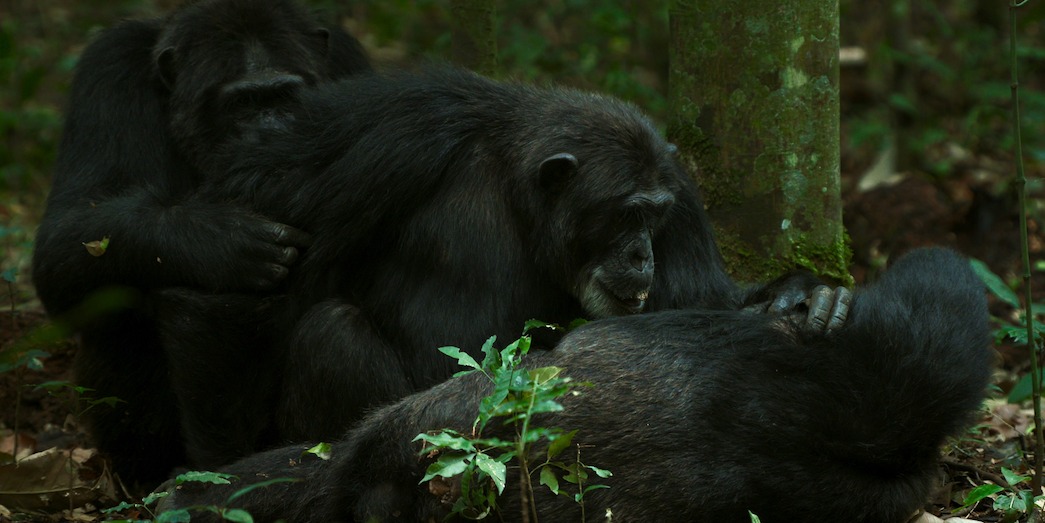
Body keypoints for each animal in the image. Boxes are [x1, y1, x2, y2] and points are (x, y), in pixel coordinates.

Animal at [30, 0, 372, 483]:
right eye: (242, 102)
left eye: (286, 96)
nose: (274, 131)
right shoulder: (108, 73)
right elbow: (67, 236)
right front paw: (217, 239)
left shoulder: (347, 65)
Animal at [152, 63, 848, 468]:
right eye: (625, 215)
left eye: (653, 218)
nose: (641, 252)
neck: (519, 189)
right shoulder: (392, 133)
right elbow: (244, 260)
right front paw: (209, 474)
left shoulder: (679, 191)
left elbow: (696, 310)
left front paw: (805, 296)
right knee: (331, 330)